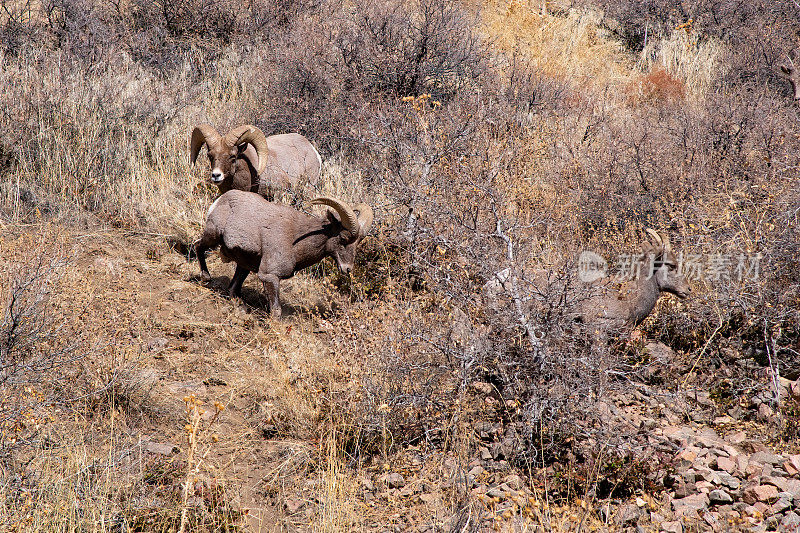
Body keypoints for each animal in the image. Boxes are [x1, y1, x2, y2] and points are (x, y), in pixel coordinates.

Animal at [194, 190, 372, 318]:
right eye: (343, 238)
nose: (347, 269)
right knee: (198, 246)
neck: (295, 242)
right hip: (212, 236)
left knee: (233, 289)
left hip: (244, 264)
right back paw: (206, 278)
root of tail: (220, 201)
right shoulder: (270, 276)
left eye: (358, 242)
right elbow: (276, 311)